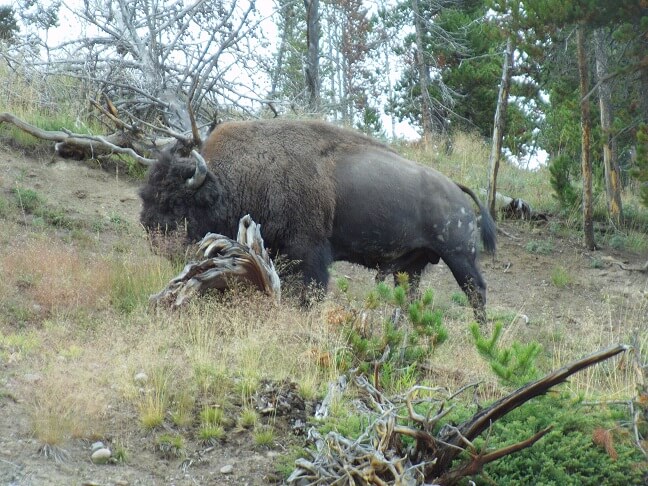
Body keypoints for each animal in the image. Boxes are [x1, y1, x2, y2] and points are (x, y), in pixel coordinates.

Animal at [140, 119, 496, 320]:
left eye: (174, 201)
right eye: (146, 194)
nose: (152, 234)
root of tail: (457, 190)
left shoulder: (309, 253)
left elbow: (310, 291)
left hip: (459, 256)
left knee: (476, 291)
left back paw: (479, 332)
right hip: (411, 268)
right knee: (412, 296)